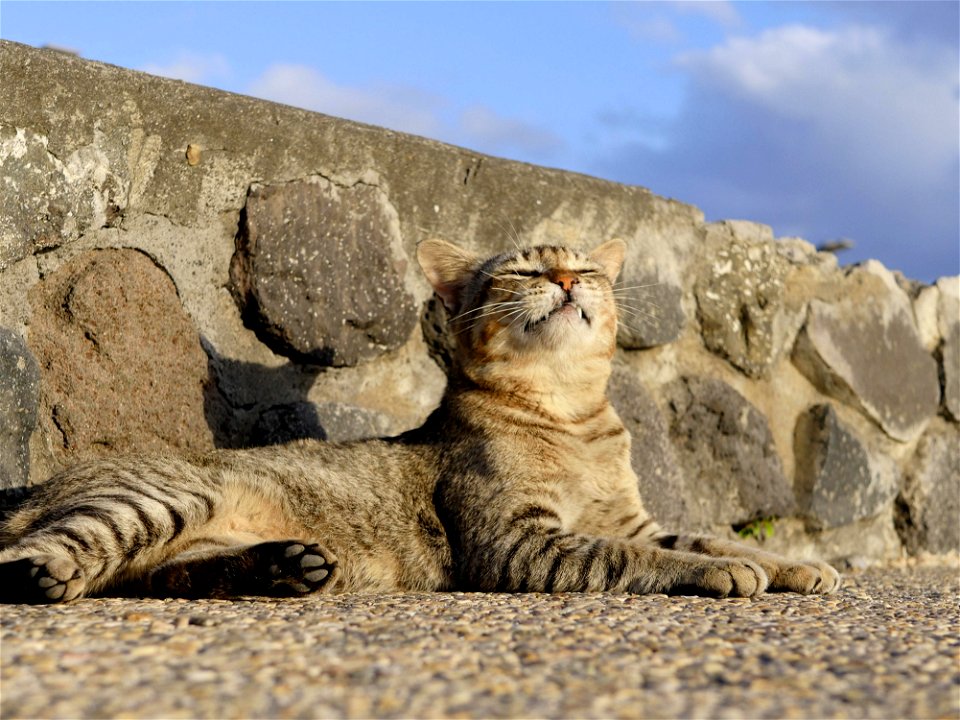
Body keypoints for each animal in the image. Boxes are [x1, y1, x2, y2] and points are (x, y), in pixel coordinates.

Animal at [0, 236, 836, 600]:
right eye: (523, 270)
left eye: (586, 267)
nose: (567, 279)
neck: (570, 415)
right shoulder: (519, 542)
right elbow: (640, 558)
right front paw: (730, 571)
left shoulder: (631, 518)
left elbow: (697, 534)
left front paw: (795, 564)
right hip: (157, 501)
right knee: (36, 558)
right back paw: (47, 575)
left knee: (159, 575)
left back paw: (285, 567)